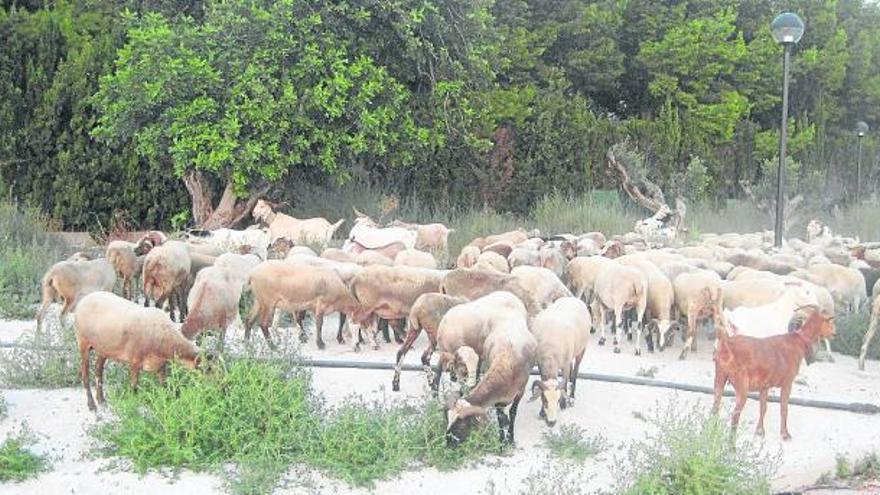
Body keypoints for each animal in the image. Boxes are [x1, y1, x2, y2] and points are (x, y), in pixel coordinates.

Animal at [74, 292, 205, 412]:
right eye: (206, 369)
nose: (209, 390)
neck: (163, 336)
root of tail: (84, 299)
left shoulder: (161, 364)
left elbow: (164, 386)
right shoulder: (134, 362)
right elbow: (134, 388)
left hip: (103, 348)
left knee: (98, 370)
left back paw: (101, 399)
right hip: (83, 343)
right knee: (85, 375)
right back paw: (91, 404)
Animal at [528, 296, 592, 428]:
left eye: (557, 400)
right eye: (544, 399)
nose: (551, 422)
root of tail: (574, 298)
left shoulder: (565, 365)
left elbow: (565, 380)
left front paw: (563, 403)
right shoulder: (541, 365)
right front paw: (542, 412)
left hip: (582, 349)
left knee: (576, 370)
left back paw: (571, 397)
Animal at [712, 308, 836, 440]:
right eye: (828, 320)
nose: (834, 332)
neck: (798, 341)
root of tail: (727, 343)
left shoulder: (764, 387)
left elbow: (763, 407)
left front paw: (760, 431)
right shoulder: (787, 384)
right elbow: (784, 408)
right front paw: (785, 434)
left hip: (719, 379)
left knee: (715, 408)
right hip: (742, 388)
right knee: (735, 415)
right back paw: (731, 443)